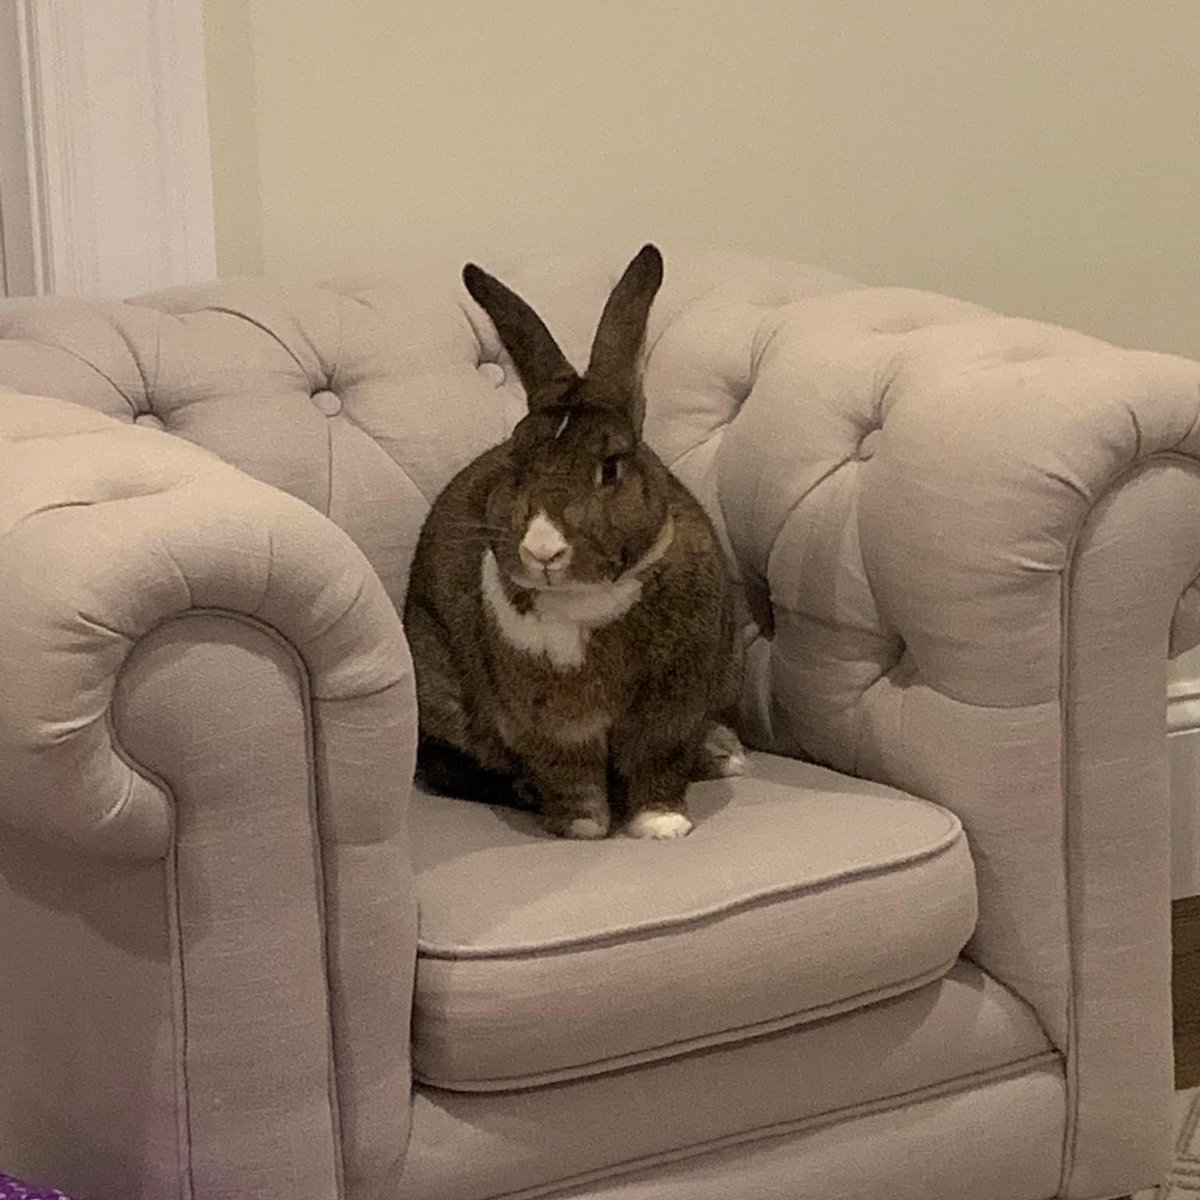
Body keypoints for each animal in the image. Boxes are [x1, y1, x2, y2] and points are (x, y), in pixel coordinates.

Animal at [403, 244, 746, 840]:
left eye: (611, 466)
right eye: (516, 462)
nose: (543, 550)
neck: (590, 600)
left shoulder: (671, 708)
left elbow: (658, 762)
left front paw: (662, 826)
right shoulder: (548, 722)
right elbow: (570, 774)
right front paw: (582, 828)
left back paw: (724, 754)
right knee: (450, 767)